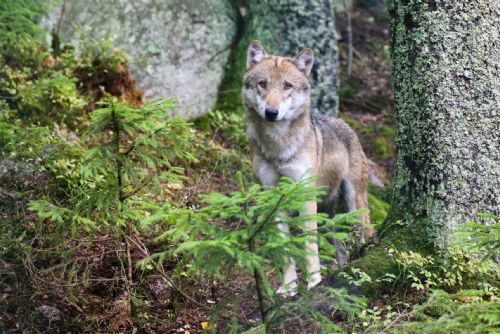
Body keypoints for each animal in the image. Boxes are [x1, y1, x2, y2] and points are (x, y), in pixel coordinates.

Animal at [240, 40, 374, 294]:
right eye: (263, 84)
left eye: (287, 86)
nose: (271, 113)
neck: (278, 146)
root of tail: (348, 126)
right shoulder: (274, 196)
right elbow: (285, 249)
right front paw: (289, 287)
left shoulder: (305, 197)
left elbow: (310, 247)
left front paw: (313, 284)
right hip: (329, 219)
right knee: (342, 249)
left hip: (353, 205)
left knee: (364, 235)